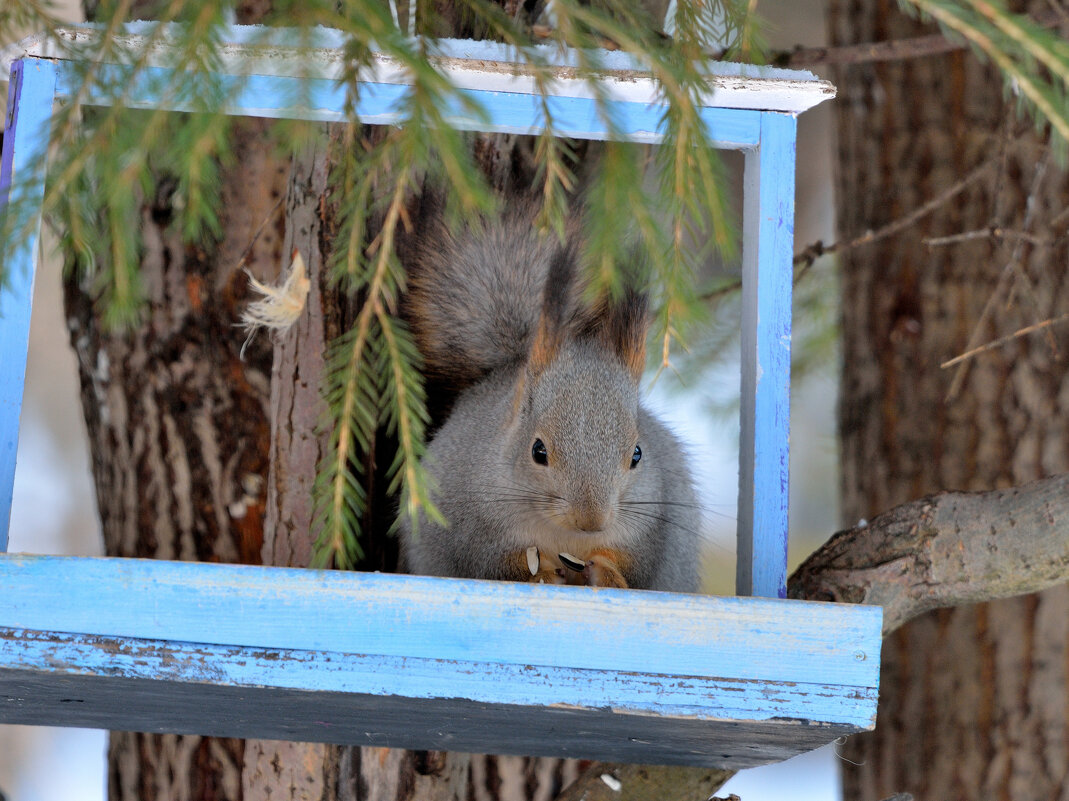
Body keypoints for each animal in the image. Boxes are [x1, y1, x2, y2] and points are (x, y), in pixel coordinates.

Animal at [399, 196, 701, 590]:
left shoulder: (649, 527)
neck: (563, 537)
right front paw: (539, 571)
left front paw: (603, 570)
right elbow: (490, 563)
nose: (591, 521)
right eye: (537, 451)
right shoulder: (469, 527)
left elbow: (635, 570)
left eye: (637, 454)